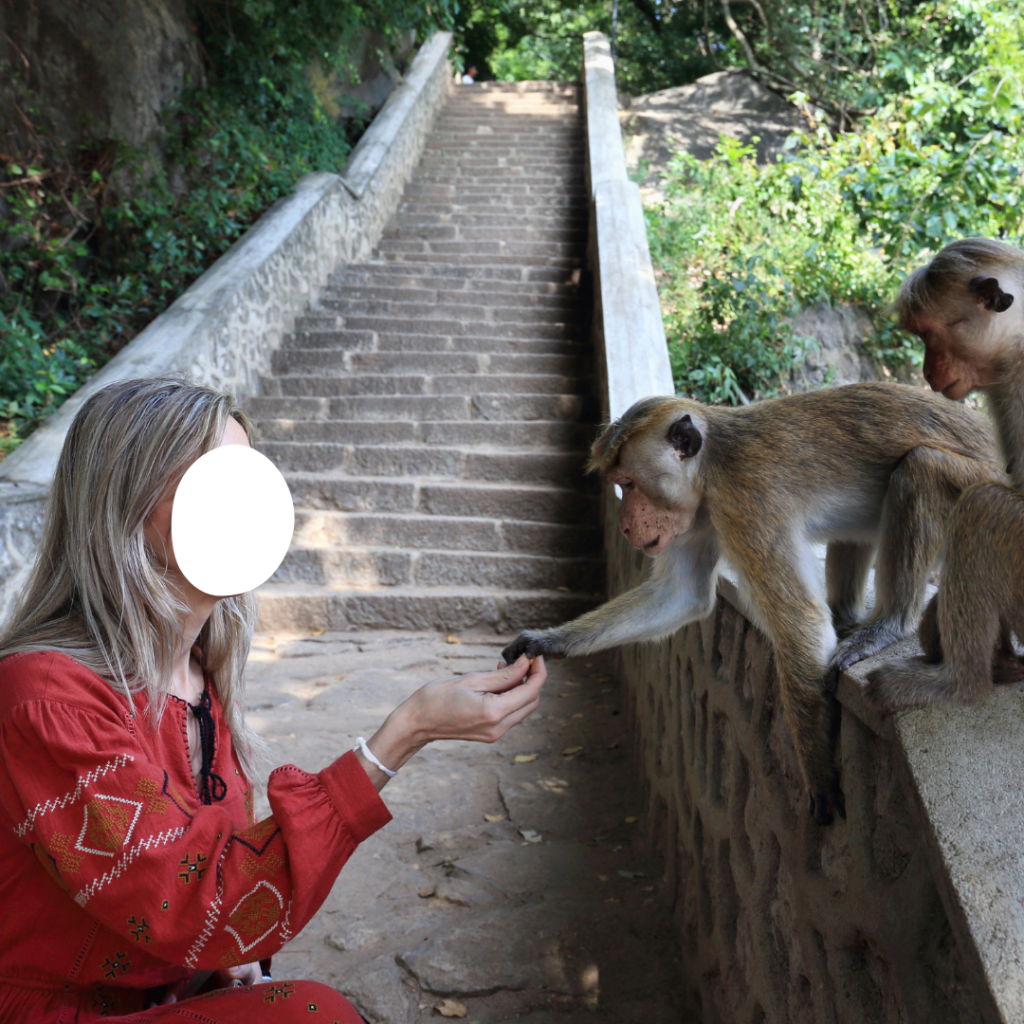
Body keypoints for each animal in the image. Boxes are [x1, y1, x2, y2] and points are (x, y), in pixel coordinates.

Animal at [503, 385, 999, 823]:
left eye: (629, 484)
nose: (625, 526)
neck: (711, 465)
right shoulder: (701, 514)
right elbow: (679, 596)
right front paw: (546, 641)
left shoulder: (744, 500)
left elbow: (797, 618)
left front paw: (817, 769)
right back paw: (848, 617)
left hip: (980, 503)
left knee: (923, 468)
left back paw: (889, 624)